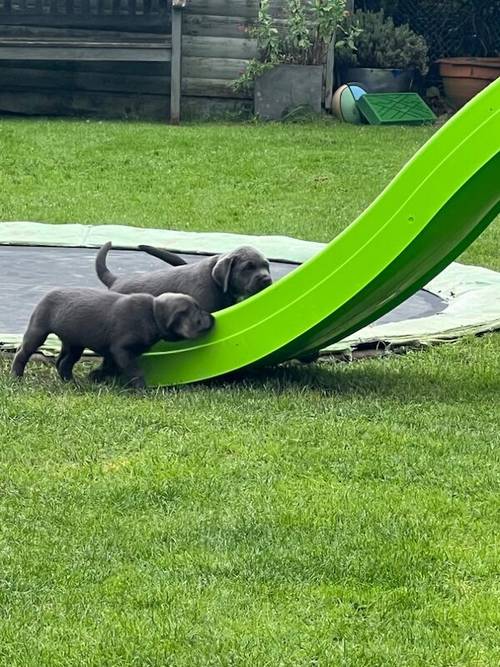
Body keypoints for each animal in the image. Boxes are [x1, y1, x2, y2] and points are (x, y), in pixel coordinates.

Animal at [11, 288, 214, 392]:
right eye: (198, 316)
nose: (212, 318)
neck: (153, 314)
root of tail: (47, 294)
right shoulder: (121, 350)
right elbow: (133, 370)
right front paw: (141, 389)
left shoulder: (114, 352)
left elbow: (111, 367)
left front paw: (96, 376)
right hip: (38, 331)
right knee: (22, 353)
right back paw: (16, 377)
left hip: (74, 344)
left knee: (63, 363)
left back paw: (71, 383)